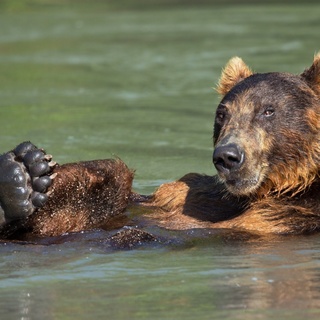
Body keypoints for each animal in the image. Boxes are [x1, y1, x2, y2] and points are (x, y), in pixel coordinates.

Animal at [0, 53, 320, 242]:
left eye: (268, 111)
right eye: (222, 114)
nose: (227, 156)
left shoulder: (286, 217)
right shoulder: (190, 191)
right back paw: (22, 176)